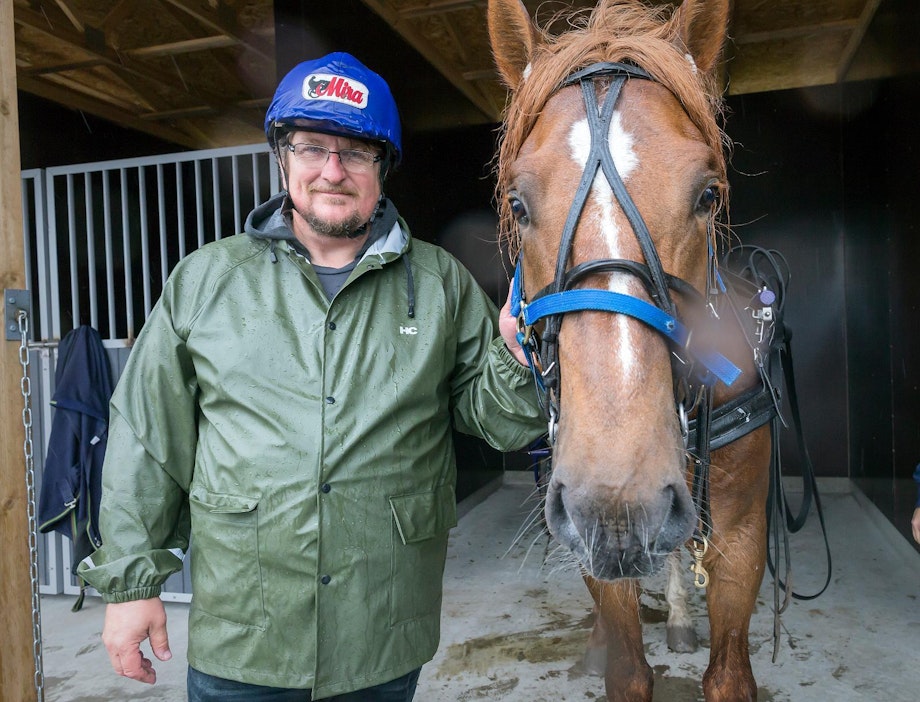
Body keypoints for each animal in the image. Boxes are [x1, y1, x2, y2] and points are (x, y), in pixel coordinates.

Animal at [488, 0, 773, 700]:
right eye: (517, 203)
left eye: (707, 195)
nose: (620, 503)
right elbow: (626, 668)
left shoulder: (743, 542)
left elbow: (728, 677)